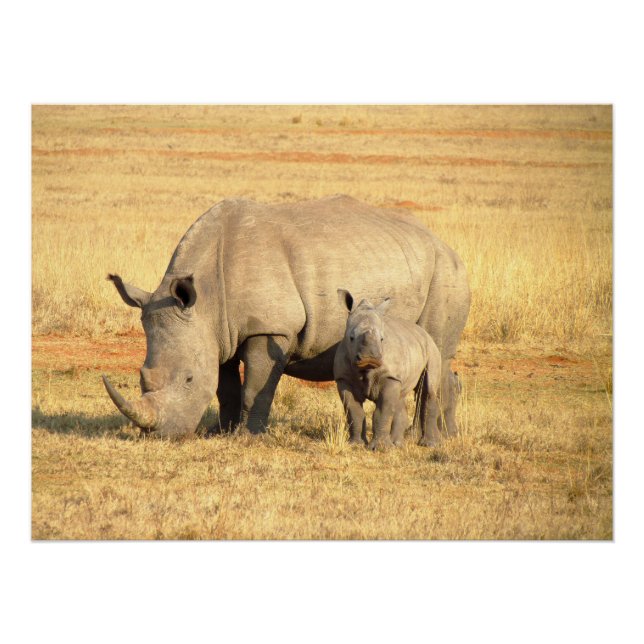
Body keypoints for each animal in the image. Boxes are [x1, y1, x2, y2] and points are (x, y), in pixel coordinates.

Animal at [334, 290, 443, 450]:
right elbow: (354, 411)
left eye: (382, 339)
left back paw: (429, 444)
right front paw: (355, 445)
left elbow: (383, 410)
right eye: (351, 338)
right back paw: (397, 444)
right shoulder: (344, 378)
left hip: (432, 350)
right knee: (400, 398)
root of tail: (424, 332)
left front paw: (380, 448)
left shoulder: (390, 376)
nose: (369, 358)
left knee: (428, 389)